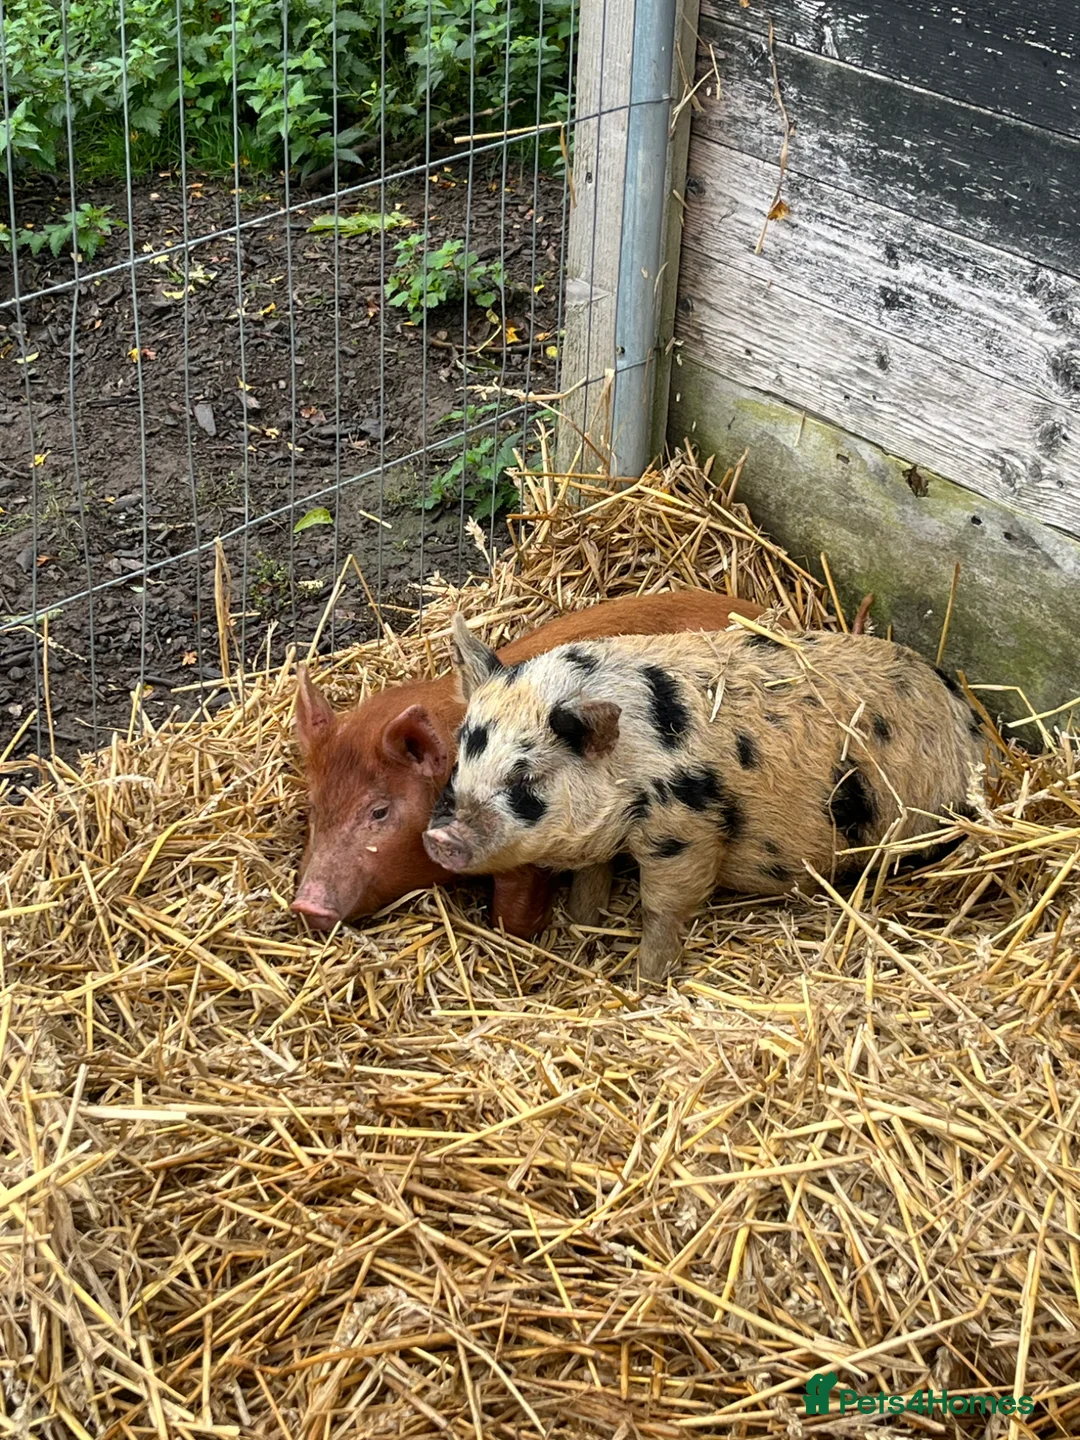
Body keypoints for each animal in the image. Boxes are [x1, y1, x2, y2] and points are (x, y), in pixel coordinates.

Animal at [423, 616, 983, 982]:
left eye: (525, 780)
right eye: (460, 761)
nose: (439, 836)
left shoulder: (685, 828)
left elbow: (662, 907)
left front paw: (645, 982)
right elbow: (591, 881)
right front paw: (583, 926)